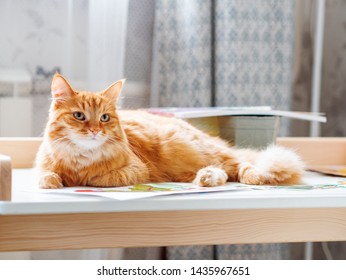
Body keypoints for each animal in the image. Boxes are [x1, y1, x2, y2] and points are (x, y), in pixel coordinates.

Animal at [36, 73, 304, 189]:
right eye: (79, 116)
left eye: (104, 118)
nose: (94, 131)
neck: (81, 159)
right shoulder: (42, 164)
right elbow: (45, 175)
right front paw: (54, 181)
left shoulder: (137, 170)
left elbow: (99, 178)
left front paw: (81, 179)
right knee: (224, 172)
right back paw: (207, 178)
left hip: (190, 149)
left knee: (240, 165)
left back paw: (252, 177)